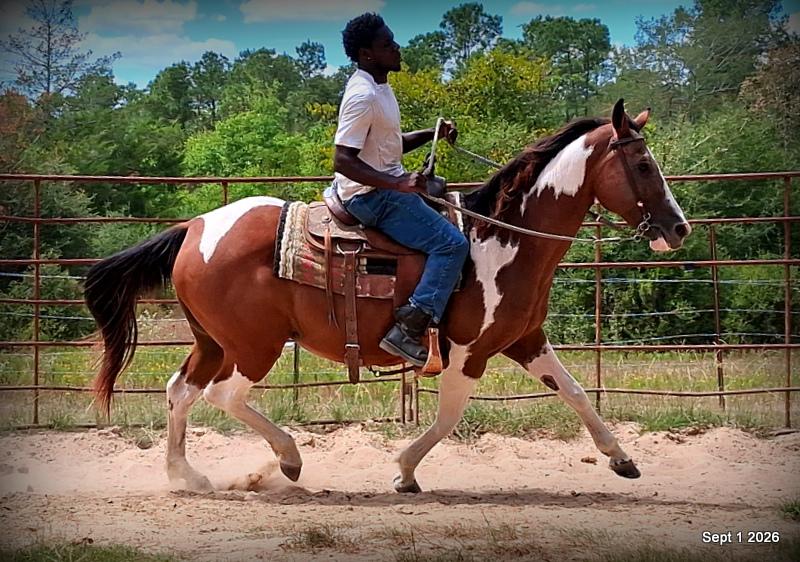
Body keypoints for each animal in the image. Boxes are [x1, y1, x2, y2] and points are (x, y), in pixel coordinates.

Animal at [84, 99, 691, 493]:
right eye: (643, 165)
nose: (679, 228)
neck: (501, 240)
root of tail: (195, 227)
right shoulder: (468, 353)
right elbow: (448, 418)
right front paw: (403, 472)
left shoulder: (526, 341)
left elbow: (577, 392)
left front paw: (622, 459)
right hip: (255, 345)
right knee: (223, 396)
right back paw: (287, 461)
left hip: (214, 342)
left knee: (180, 391)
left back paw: (186, 477)